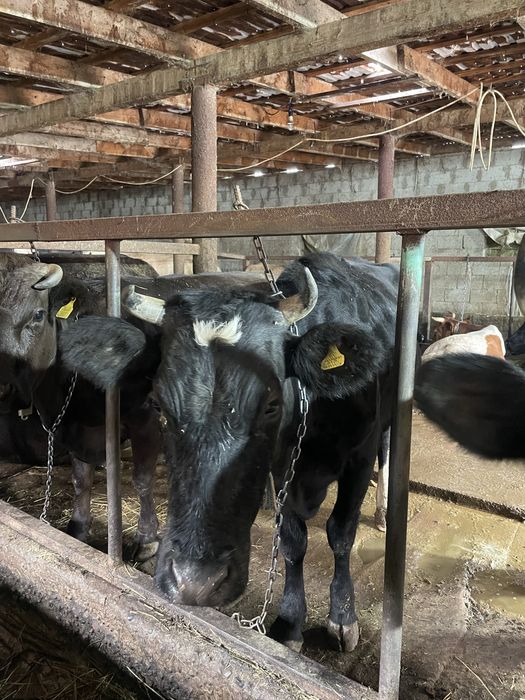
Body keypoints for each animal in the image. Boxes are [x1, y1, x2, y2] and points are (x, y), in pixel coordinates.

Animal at [60, 252, 398, 652]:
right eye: (158, 404)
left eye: (271, 404)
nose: (195, 582)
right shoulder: (282, 467)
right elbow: (292, 541)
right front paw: (289, 621)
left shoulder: (358, 460)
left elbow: (341, 534)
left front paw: (343, 617)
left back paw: (383, 511)